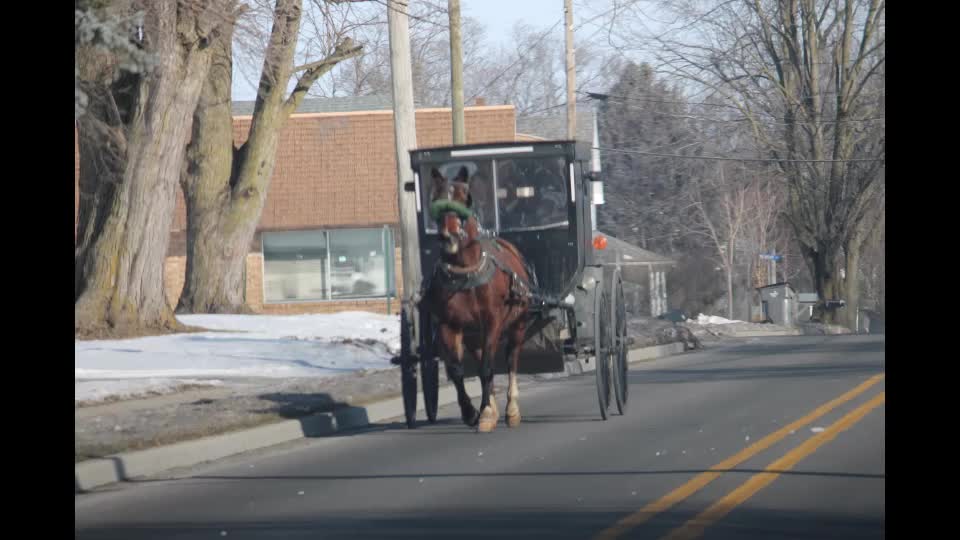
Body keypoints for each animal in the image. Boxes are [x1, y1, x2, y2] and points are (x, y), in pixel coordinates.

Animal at [424, 167, 536, 432]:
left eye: (465, 198)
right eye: (436, 200)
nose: (449, 236)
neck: (466, 274)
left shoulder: (492, 321)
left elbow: (487, 367)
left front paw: (485, 412)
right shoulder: (448, 325)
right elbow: (457, 370)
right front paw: (471, 412)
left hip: (517, 324)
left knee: (511, 359)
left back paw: (510, 409)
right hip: (473, 335)